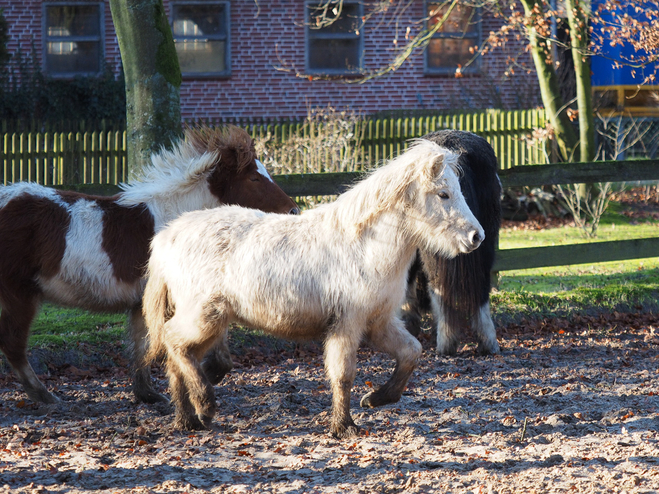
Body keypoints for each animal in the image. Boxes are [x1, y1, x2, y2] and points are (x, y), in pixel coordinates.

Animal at [0, 126, 300, 406]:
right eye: (254, 178)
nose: (294, 211)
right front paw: (204, 374)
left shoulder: (143, 303)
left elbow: (141, 346)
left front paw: (148, 394)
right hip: (19, 293)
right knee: (14, 345)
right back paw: (45, 396)